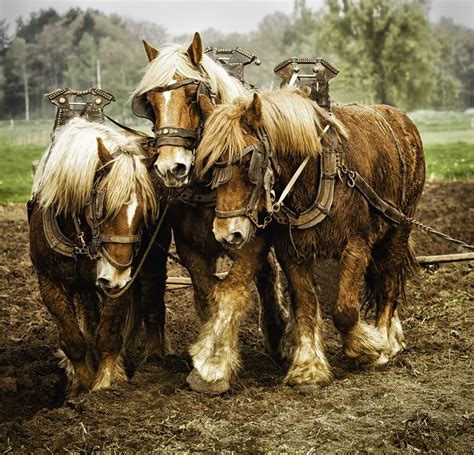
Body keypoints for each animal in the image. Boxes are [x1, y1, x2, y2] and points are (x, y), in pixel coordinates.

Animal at [28, 118, 168, 396]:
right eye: (102, 206)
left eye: (146, 211)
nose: (116, 274)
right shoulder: (48, 282)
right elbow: (73, 339)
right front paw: (80, 383)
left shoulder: (121, 284)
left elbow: (108, 334)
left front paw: (106, 382)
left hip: (153, 262)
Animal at [130, 33, 286, 396]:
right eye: (151, 104)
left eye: (192, 96)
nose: (171, 168)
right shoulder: (191, 246)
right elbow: (207, 294)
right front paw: (207, 351)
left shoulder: (250, 242)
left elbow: (230, 293)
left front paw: (212, 368)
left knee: (268, 275)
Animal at [195, 89, 426, 392]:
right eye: (211, 165)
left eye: (247, 163)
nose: (225, 233)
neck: (315, 173)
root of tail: (401, 119)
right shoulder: (291, 254)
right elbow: (305, 306)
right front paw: (308, 368)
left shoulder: (356, 246)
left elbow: (344, 310)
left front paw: (368, 348)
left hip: (400, 227)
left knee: (388, 283)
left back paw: (386, 341)